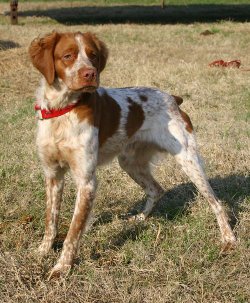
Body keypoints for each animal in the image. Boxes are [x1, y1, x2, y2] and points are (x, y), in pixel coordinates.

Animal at [29, 32, 236, 280]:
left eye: (93, 55)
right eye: (68, 56)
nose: (90, 74)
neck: (63, 110)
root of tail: (172, 98)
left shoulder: (86, 181)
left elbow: (73, 232)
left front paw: (61, 267)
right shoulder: (53, 174)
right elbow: (50, 220)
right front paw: (42, 251)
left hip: (188, 159)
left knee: (216, 202)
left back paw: (228, 239)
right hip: (130, 162)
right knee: (156, 189)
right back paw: (140, 218)